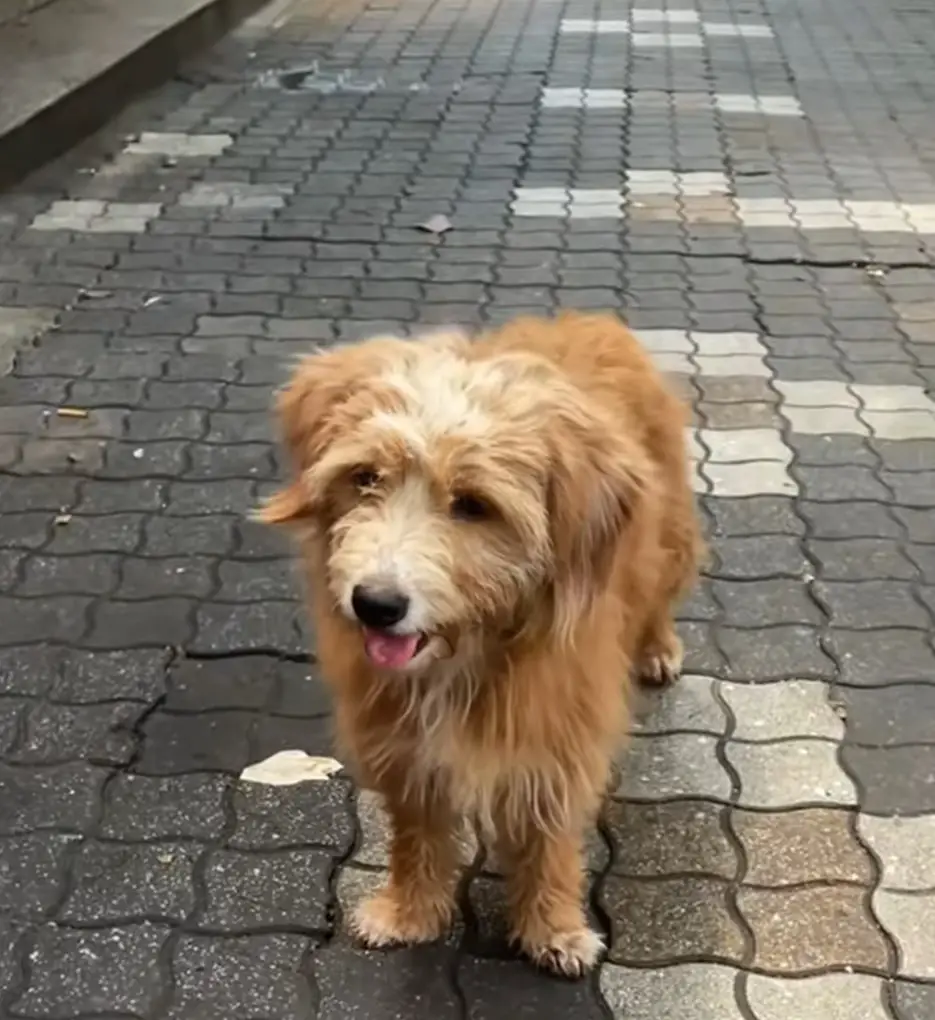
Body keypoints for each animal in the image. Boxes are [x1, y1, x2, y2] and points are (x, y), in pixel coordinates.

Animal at [258, 312, 697, 979]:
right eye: (366, 478)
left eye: (473, 505)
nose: (376, 604)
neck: (465, 651)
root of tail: (591, 318)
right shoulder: (398, 736)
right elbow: (414, 828)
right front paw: (410, 909)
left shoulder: (558, 727)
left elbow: (548, 831)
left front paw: (553, 925)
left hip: (668, 537)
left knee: (660, 592)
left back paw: (656, 648)